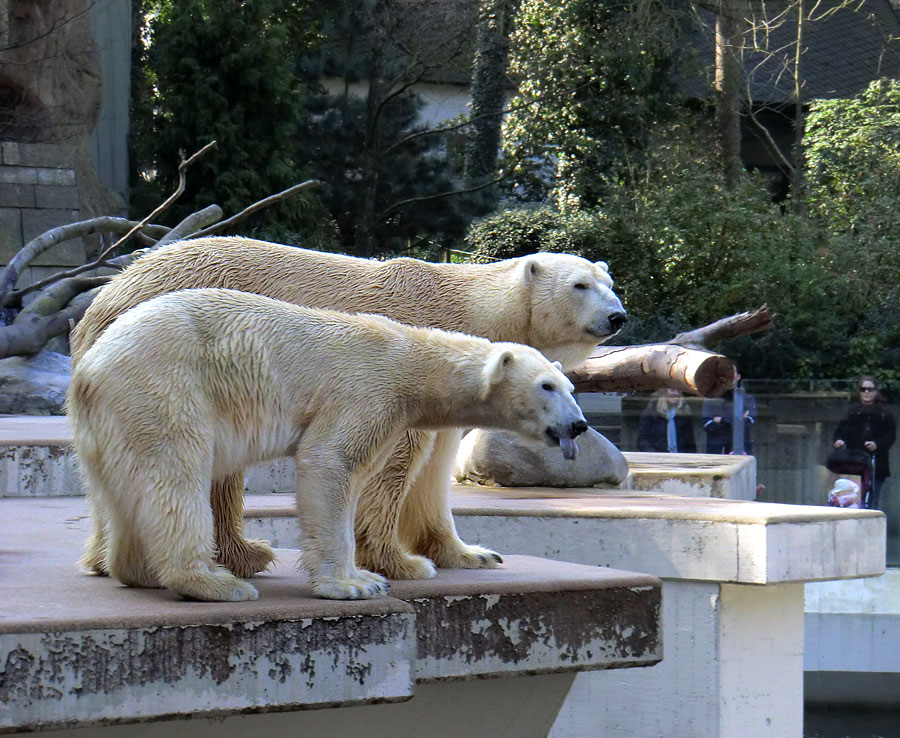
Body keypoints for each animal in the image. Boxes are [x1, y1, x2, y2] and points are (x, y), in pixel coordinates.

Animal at [72, 236, 624, 580]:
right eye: (580, 285)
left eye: (610, 283)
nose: (617, 316)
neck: (465, 309)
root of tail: (105, 297)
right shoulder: (396, 368)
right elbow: (396, 463)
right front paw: (395, 562)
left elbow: (437, 467)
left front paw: (470, 553)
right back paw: (244, 556)